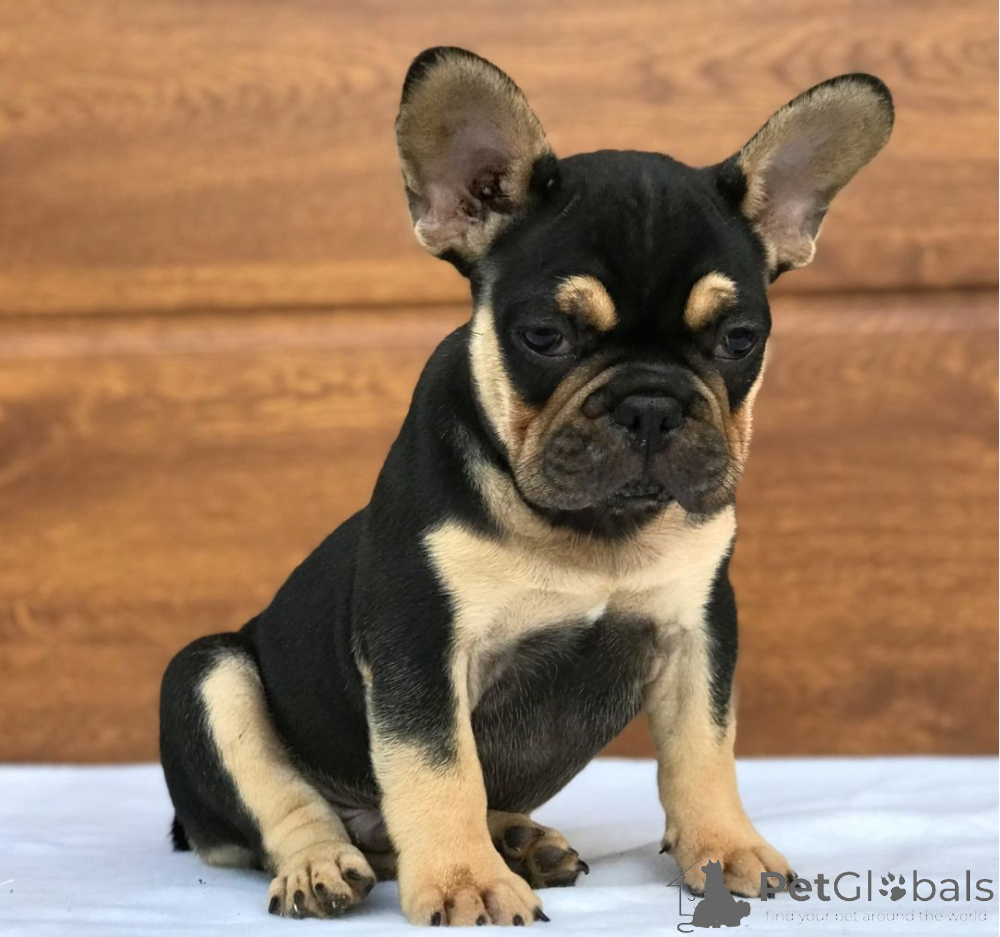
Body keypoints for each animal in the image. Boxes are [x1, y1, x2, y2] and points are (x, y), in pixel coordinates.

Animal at [159, 47, 893, 926]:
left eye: (740, 339)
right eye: (545, 335)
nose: (651, 403)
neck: (592, 529)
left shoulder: (699, 629)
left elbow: (704, 749)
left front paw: (724, 848)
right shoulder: (420, 641)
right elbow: (438, 767)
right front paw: (464, 881)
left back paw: (518, 838)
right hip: (207, 674)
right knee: (286, 802)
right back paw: (324, 863)